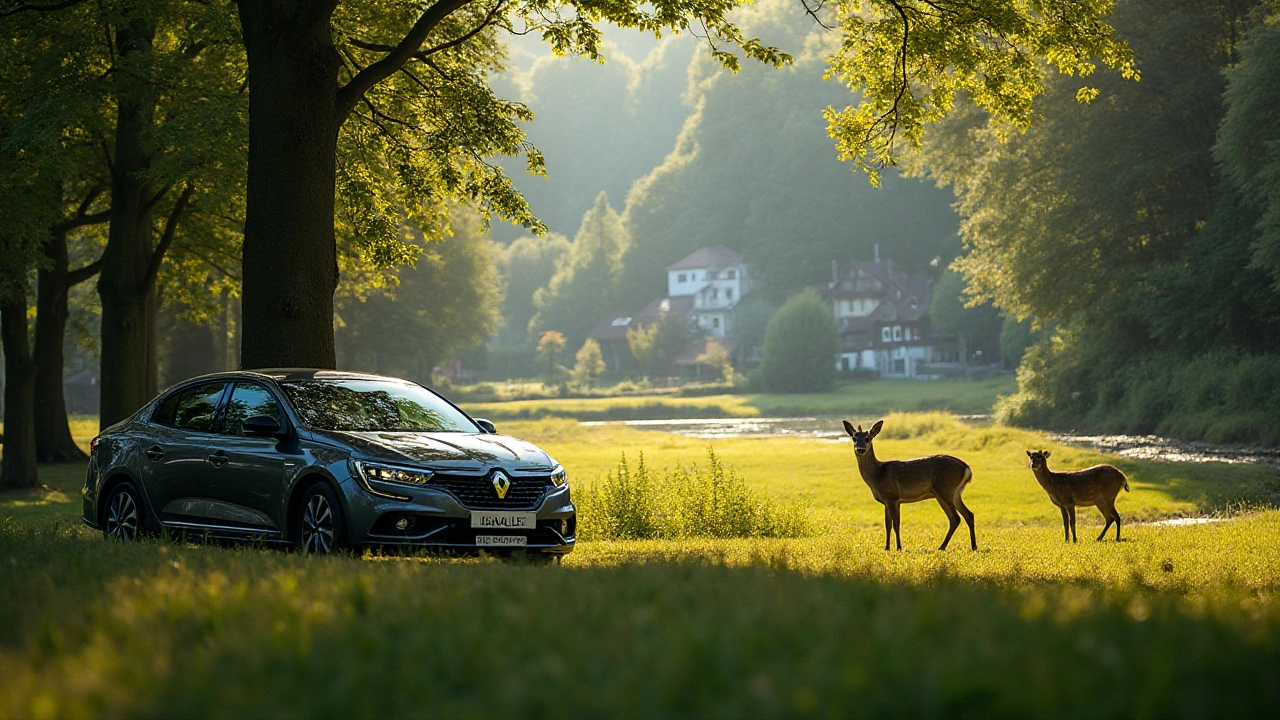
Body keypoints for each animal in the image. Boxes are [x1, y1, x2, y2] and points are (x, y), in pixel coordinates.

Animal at [844, 415, 972, 548]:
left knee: (956, 518)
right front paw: (887, 548)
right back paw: (973, 547)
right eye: (854, 438)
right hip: (954, 493)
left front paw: (899, 547)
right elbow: (888, 525)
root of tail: (967, 468)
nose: (860, 449)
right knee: (968, 515)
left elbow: (895, 524)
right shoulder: (888, 501)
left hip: (945, 489)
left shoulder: (892, 496)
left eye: (867, 438)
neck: (878, 474)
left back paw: (942, 547)